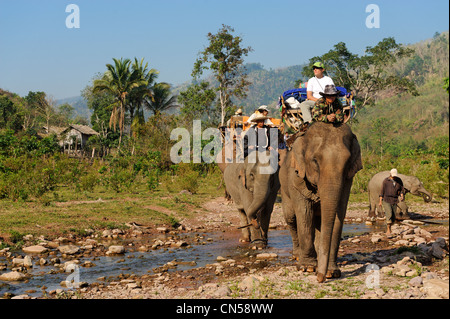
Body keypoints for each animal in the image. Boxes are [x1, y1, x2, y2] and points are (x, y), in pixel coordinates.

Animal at [280, 122, 364, 282]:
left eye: (347, 162)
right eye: (315, 161)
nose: (320, 278)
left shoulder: (347, 181)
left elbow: (338, 215)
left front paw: (332, 272)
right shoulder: (296, 178)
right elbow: (305, 215)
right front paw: (307, 268)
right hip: (283, 188)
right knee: (291, 218)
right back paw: (297, 256)